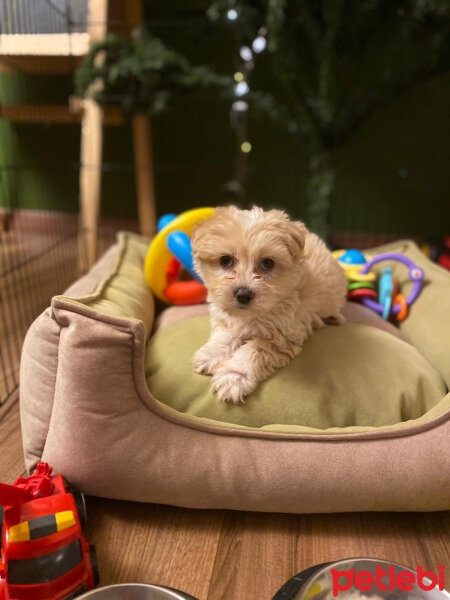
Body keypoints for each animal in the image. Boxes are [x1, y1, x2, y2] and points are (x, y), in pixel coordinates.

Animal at [192, 205, 346, 404]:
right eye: (225, 260)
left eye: (267, 263)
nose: (243, 295)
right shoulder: (225, 318)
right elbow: (225, 336)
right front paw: (211, 355)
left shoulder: (282, 337)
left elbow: (253, 351)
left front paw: (233, 377)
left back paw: (335, 317)